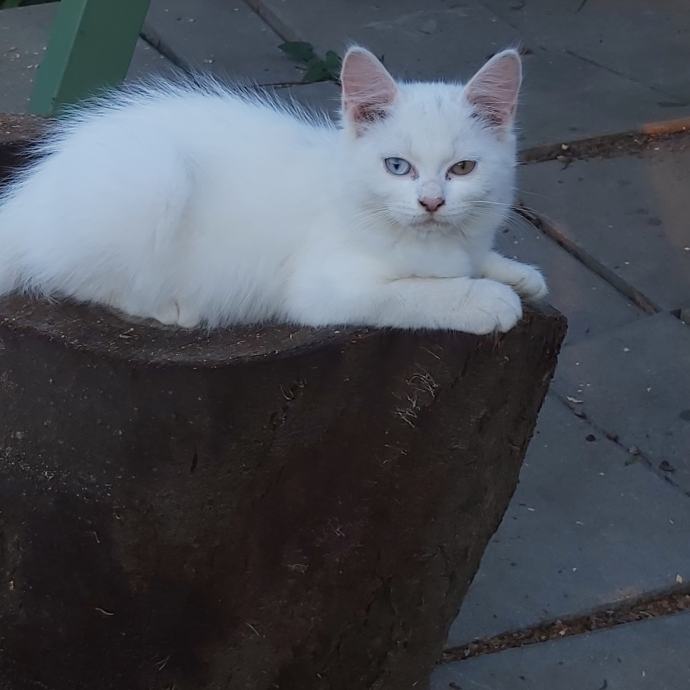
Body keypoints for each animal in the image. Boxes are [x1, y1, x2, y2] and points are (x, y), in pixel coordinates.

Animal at [0, 46, 546, 334]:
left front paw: (516, 274)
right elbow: (415, 293)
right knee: (84, 280)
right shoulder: (326, 288)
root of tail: (25, 199)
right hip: (155, 180)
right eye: (397, 166)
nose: (431, 202)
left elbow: (474, 260)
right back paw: (174, 308)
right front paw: (486, 299)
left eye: (463, 168)